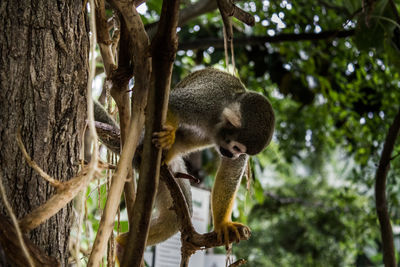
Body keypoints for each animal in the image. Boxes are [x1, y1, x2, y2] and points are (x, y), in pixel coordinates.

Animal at [94, 68, 276, 251]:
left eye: (240, 152)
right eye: (237, 148)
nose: (234, 155)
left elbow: (229, 174)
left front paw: (223, 224)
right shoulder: (207, 101)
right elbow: (173, 102)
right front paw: (169, 134)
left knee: (175, 218)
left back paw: (122, 243)